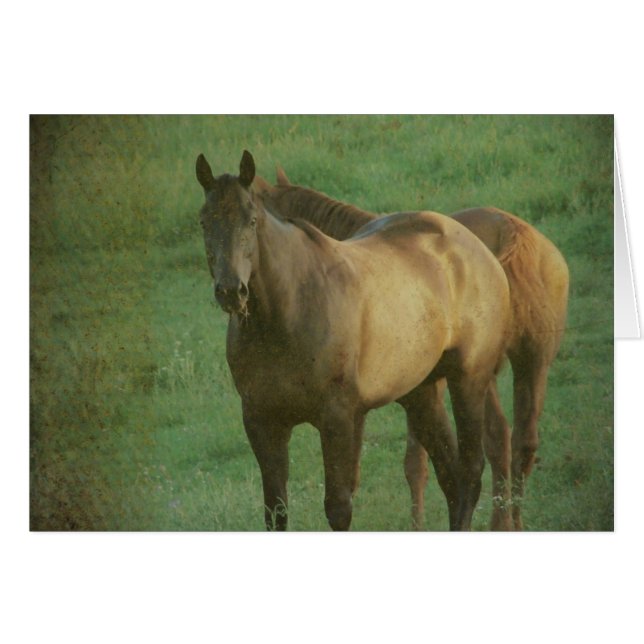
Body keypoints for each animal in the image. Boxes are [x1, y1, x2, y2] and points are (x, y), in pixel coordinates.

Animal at [197, 151, 510, 531]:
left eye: (252, 219)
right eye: (204, 222)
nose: (231, 291)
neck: (287, 313)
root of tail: (477, 248)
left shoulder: (338, 419)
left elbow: (338, 508)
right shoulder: (262, 422)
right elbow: (276, 512)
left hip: (468, 380)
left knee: (470, 471)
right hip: (420, 394)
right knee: (451, 477)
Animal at [252, 165, 569, 530]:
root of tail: (514, 234)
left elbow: (405, 466)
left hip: (480, 374)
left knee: (496, 439)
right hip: (532, 363)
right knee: (522, 442)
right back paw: (511, 521)